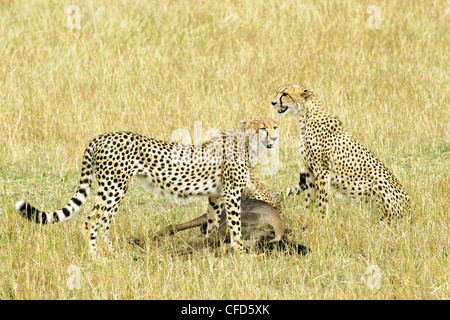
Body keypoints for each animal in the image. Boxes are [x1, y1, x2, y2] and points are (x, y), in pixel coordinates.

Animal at [14, 117, 278, 252]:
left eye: (274, 126)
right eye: (262, 128)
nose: (275, 137)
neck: (247, 144)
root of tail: (101, 136)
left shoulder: (215, 195)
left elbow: (214, 224)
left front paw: (209, 248)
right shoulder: (232, 194)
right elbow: (235, 226)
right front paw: (241, 254)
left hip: (112, 189)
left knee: (104, 221)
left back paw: (110, 251)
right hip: (114, 187)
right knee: (91, 220)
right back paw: (96, 257)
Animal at [270, 84, 412, 220]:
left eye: (285, 94)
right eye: (278, 92)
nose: (272, 102)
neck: (304, 117)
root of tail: (410, 211)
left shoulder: (322, 171)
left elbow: (322, 201)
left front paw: (322, 222)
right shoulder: (310, 170)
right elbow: (308, 199)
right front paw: (307, 222)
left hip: (379, 185)